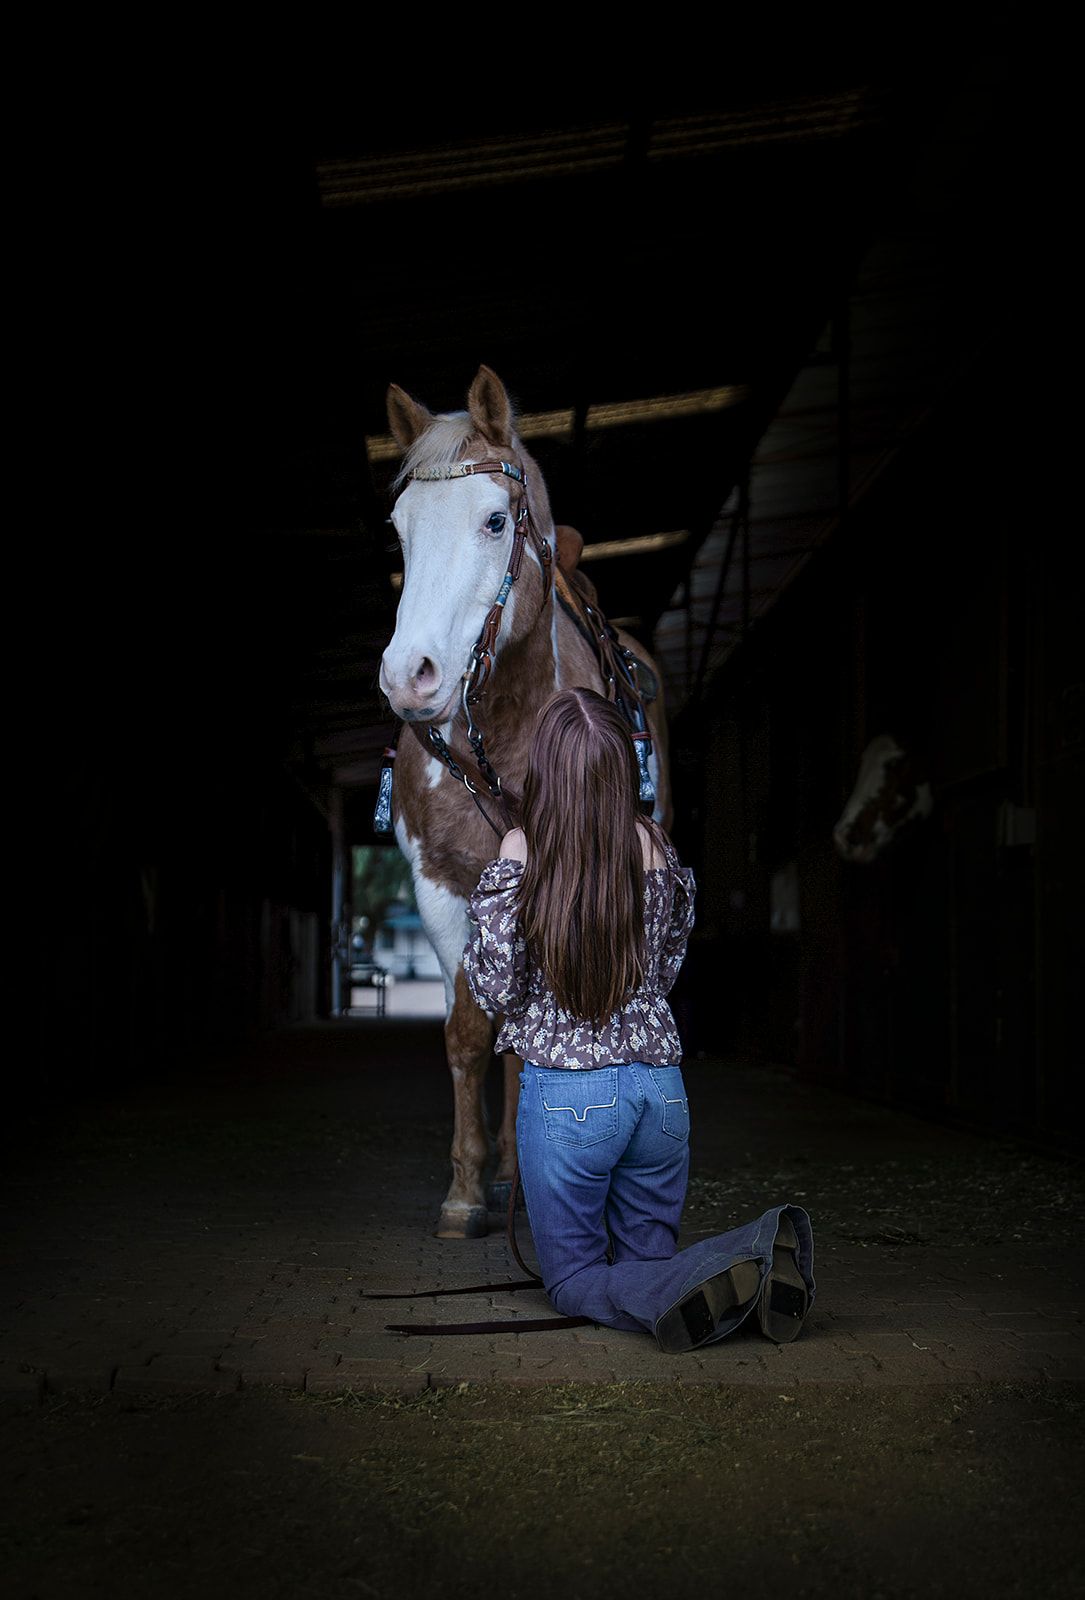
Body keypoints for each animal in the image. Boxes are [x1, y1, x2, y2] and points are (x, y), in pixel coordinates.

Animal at [378, 365, 673, 1238]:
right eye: (400, 530)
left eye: (495, 519)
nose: (408, 677)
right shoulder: (438, 886)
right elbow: (470, 1033)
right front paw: (465, 1191)